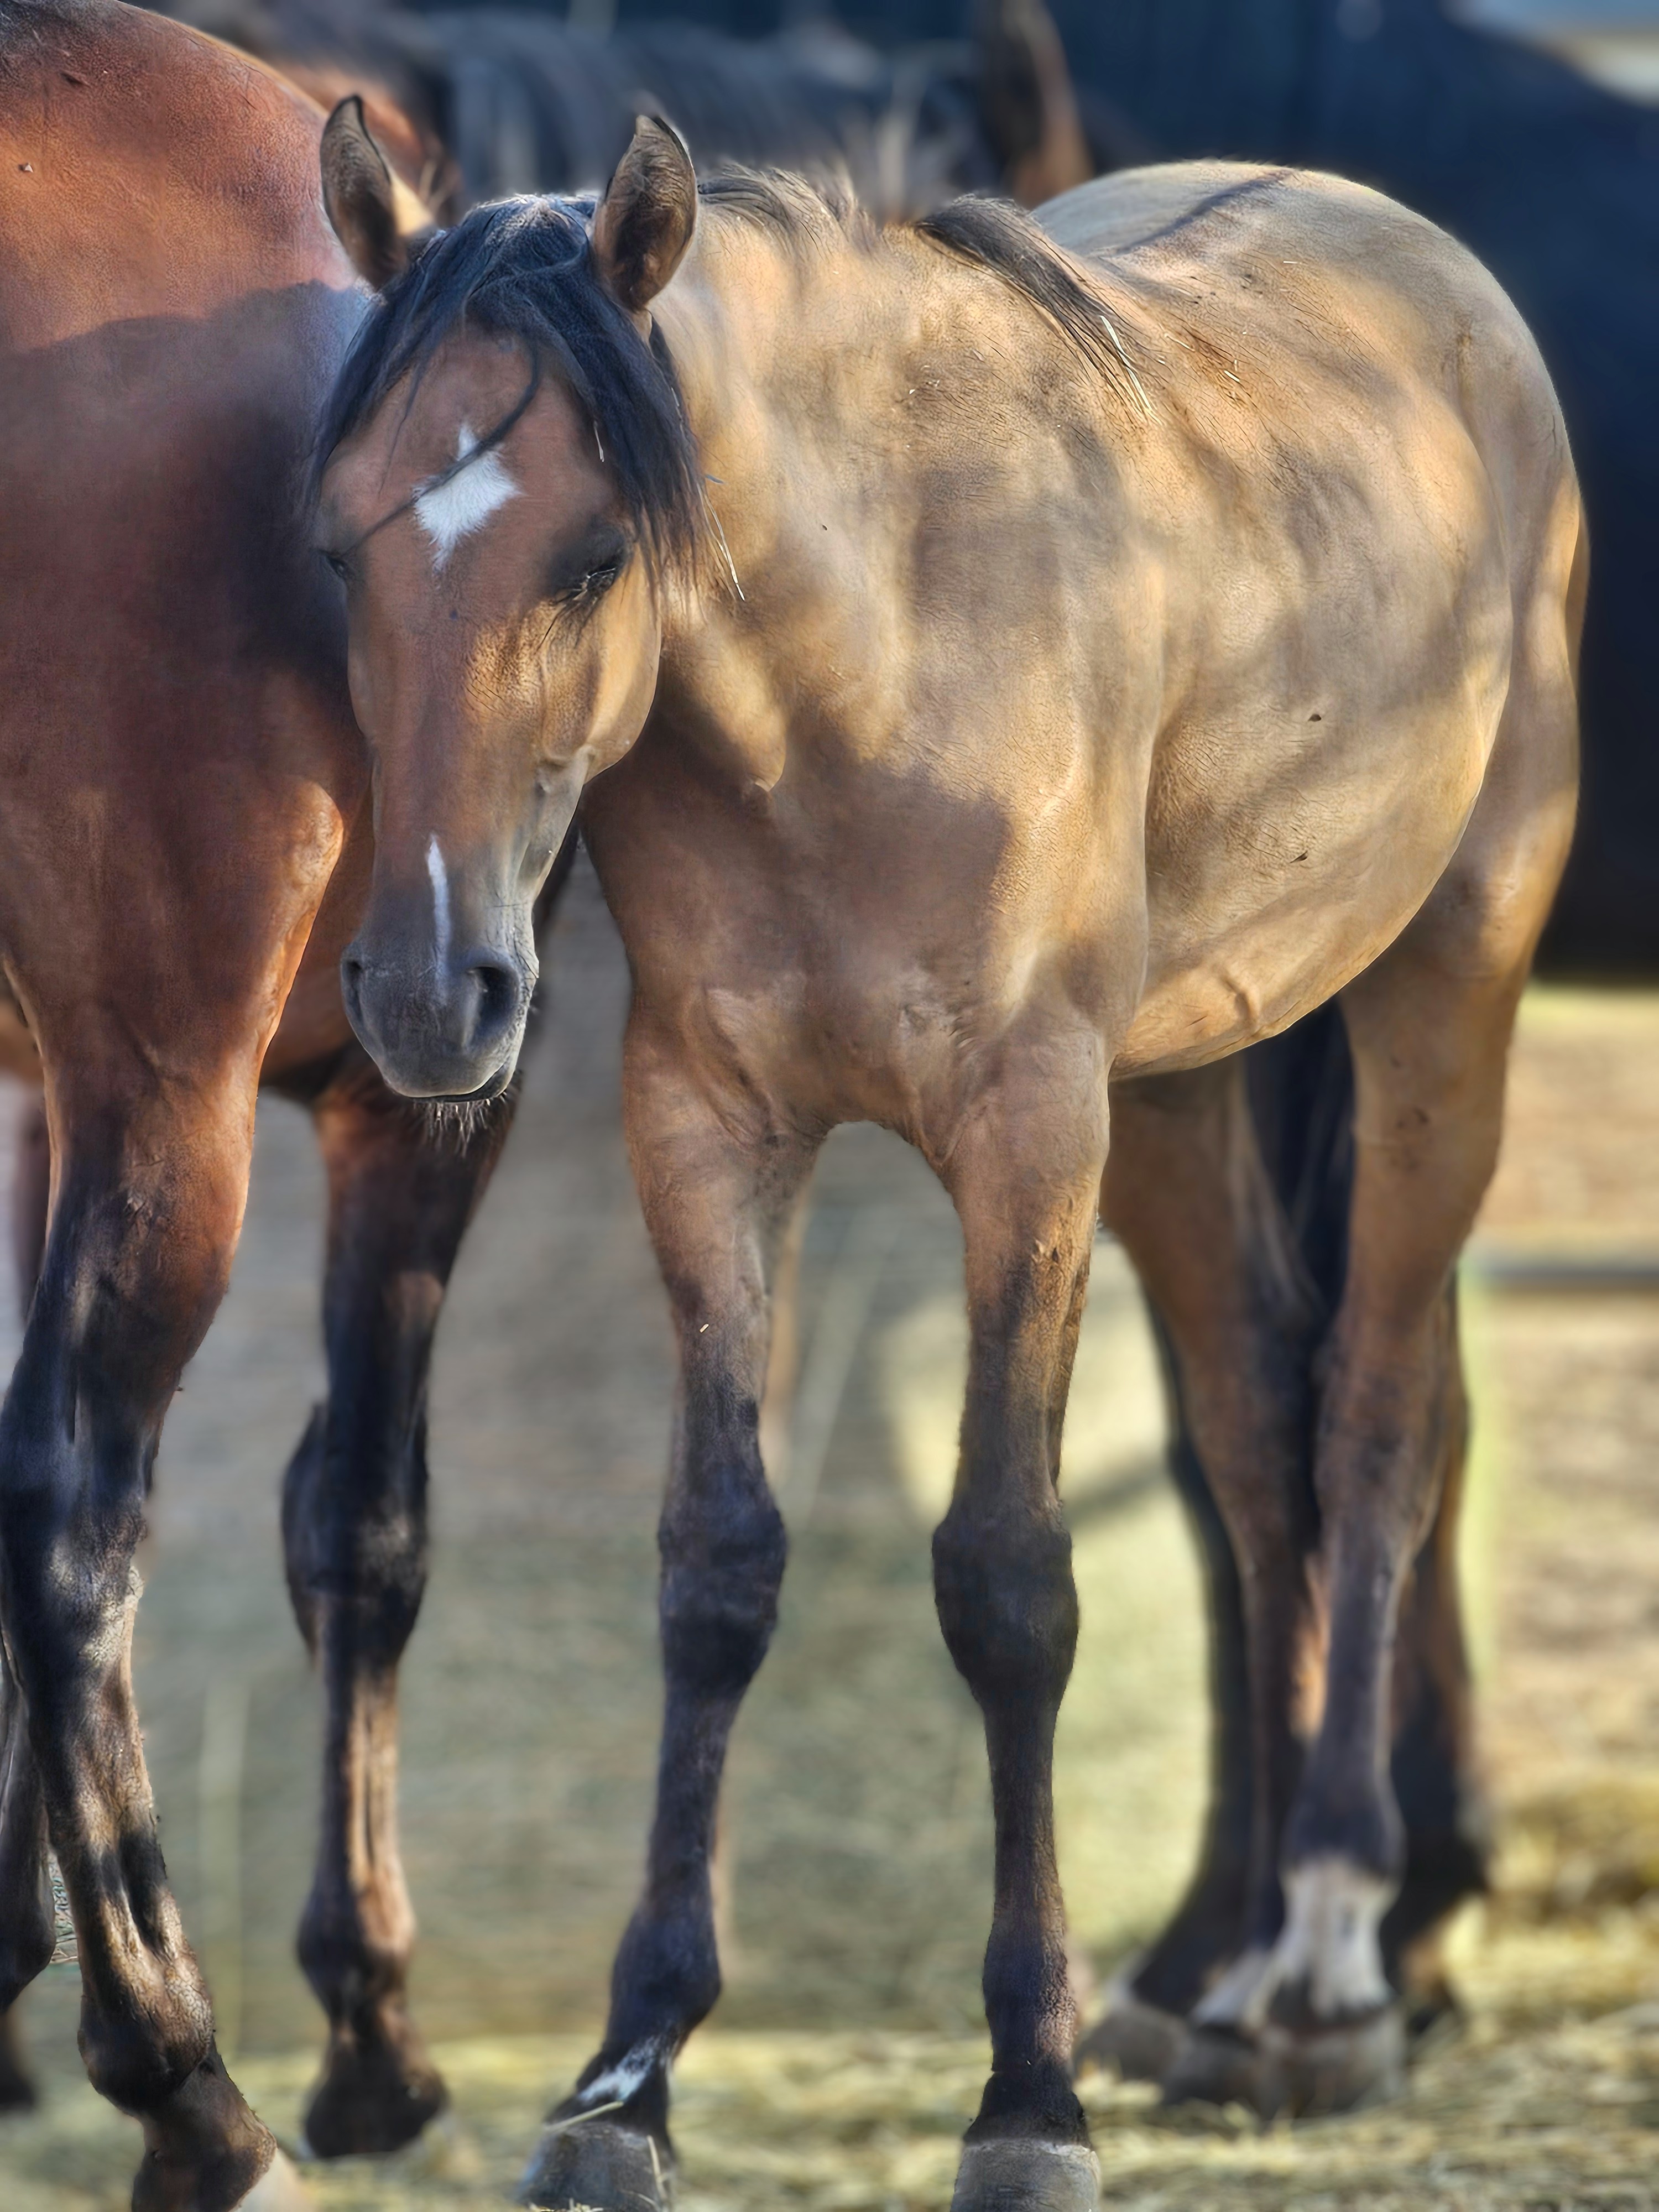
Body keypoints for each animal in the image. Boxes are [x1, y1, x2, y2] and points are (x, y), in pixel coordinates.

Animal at [0, 2, 571, 2198]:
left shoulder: (46, 1090)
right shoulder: (410, 1101)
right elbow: (362, 1517)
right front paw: (367, 2023)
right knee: (74, 1501)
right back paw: (191, 2080)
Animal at [313, 102, 1581, 2207]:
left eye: (593, 556)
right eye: (337, 545)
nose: (428, 991)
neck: (876, 658)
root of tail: (1425, 261)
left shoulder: (1024, 1135)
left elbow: (1009, 1583)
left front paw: (1026, 2096)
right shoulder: (709, 1129)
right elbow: (716, 1569)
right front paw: (630, 2074)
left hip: (1437, 1013)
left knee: (1383, 1422)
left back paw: (1329, 1953)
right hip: (1179, 1097)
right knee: (1260, 1446)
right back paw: (1224, 1975)